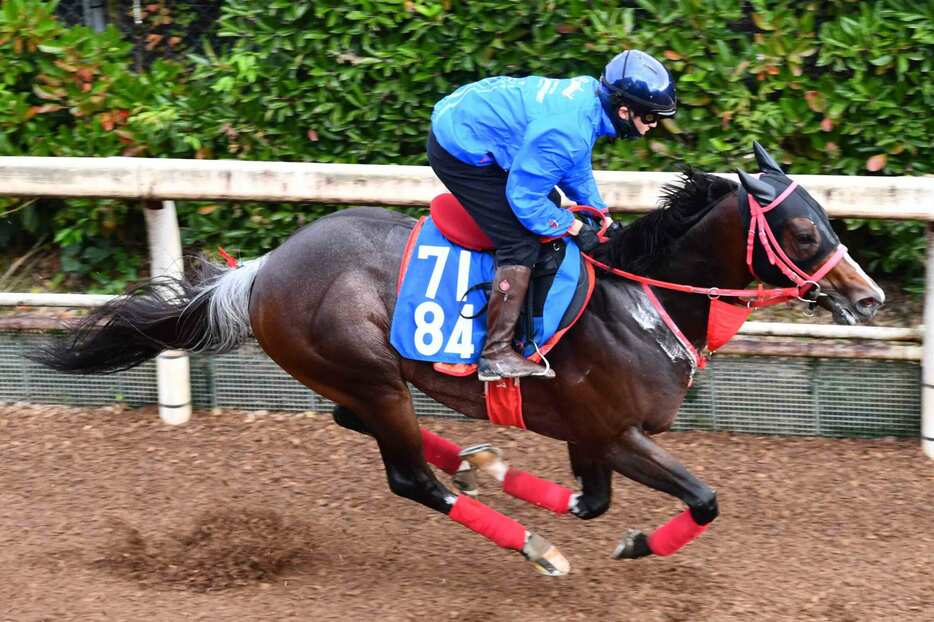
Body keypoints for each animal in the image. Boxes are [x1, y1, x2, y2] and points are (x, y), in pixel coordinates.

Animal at [34, 144, 884, 576]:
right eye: (802, 232)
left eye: (827, 217)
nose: (868, 296)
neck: (643, 301)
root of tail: (265, 268)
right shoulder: (614, 431)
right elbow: (700, 499)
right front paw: (635, 543)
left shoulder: (588, 434)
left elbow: (591, 501)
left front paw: (500, 467)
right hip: (370, 373)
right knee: (408, 477)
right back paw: (532, 545)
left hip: (364, 378)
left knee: (355, 422)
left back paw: (475, 463)